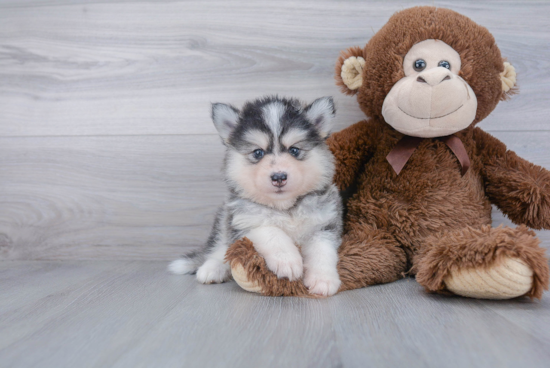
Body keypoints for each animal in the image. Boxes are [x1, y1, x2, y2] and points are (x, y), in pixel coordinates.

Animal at [171, 95, 344, 296]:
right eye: (258, 152)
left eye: (294, 150)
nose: (279, 177)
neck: (285, 209)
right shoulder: (244, 222)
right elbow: (271, 231)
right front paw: (288, 260)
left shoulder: (324, 224)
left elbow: (322, 251)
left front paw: (323, 279)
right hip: (224, 221)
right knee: (219, 248)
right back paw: (212, 269)